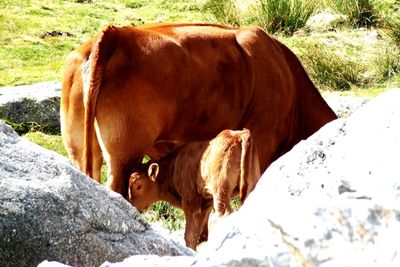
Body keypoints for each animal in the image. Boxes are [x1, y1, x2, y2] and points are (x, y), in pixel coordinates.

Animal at [127, 129, 260, 250]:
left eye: (138, 186)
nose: (131, 204)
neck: (174, 166)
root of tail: (239, 134)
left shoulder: (190, 200)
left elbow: (190, 235)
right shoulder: (205, 202)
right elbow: (200, 235)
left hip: (221, 192)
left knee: (225, 214)